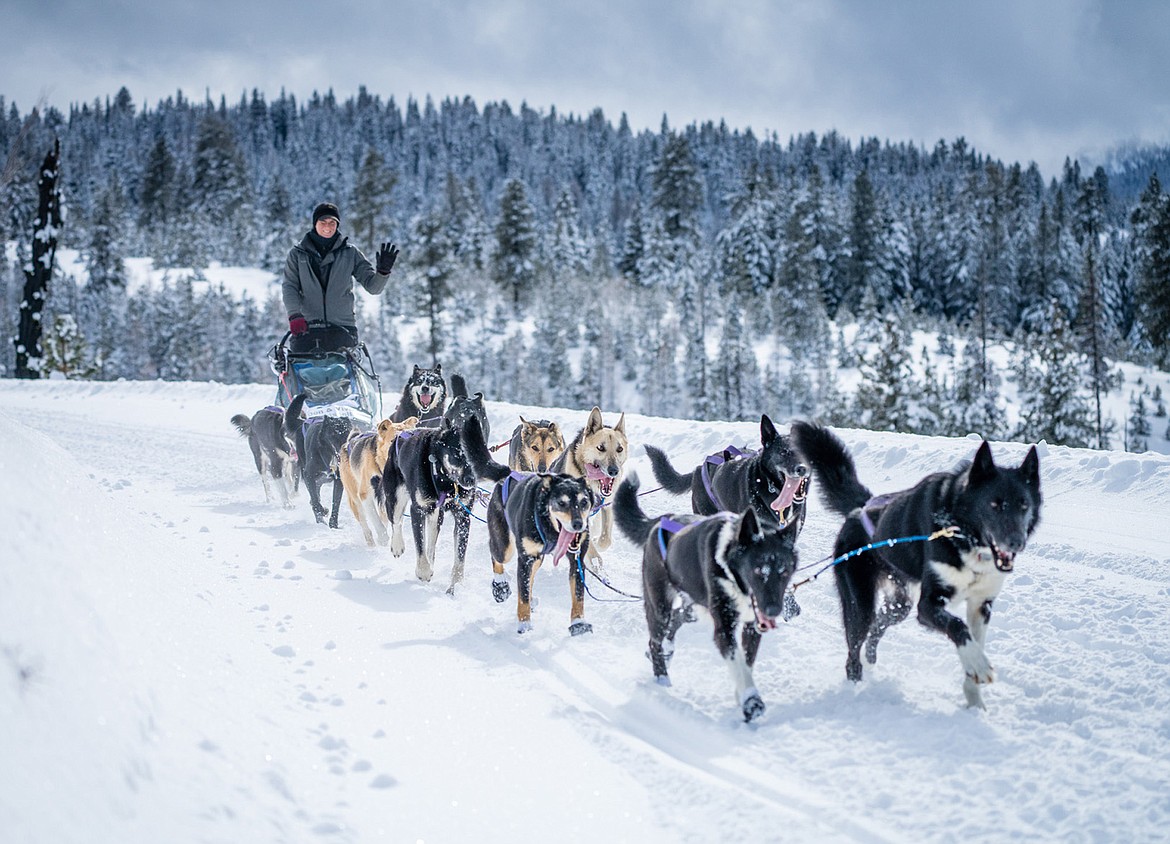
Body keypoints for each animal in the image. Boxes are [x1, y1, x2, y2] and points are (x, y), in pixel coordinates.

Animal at [608, 470, 800, 721]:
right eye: (758, 570)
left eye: (784, 571)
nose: (773, 610)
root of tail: (661, 521)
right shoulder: (724, 627)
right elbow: (738, 662)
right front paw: (752, 701)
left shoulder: (752, 626)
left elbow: (746, 662)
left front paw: (742, 694)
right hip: (660, 605)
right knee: (655, 638)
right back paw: (662, 678)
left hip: (693, 605)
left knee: (677, 618)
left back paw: (667, 652)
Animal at [790, 421, 1048, 711]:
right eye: (995, 504)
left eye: (1024, 505)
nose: (1016, 542)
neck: (960, 533)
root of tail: (862, 509)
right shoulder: (928, 605)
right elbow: (958, 627)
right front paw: (979, 666)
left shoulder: (981, 606)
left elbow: (973, 641)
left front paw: (974, 700)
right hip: (860, 605)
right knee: (854, 650)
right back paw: (855, 689)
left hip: (900, 603)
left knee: (878, 626)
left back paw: (870, 659)